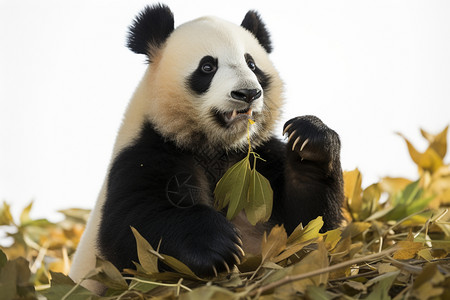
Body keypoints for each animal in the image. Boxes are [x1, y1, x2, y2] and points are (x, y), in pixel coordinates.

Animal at [70, 3, 344, 294]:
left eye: (252, 64)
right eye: (208, 66)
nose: (247, 93)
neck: (216, 147)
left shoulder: (259, 162)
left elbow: (306, 228)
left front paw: (310, 140)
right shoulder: (145, 150)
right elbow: (132, 229)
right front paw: (217, 246)